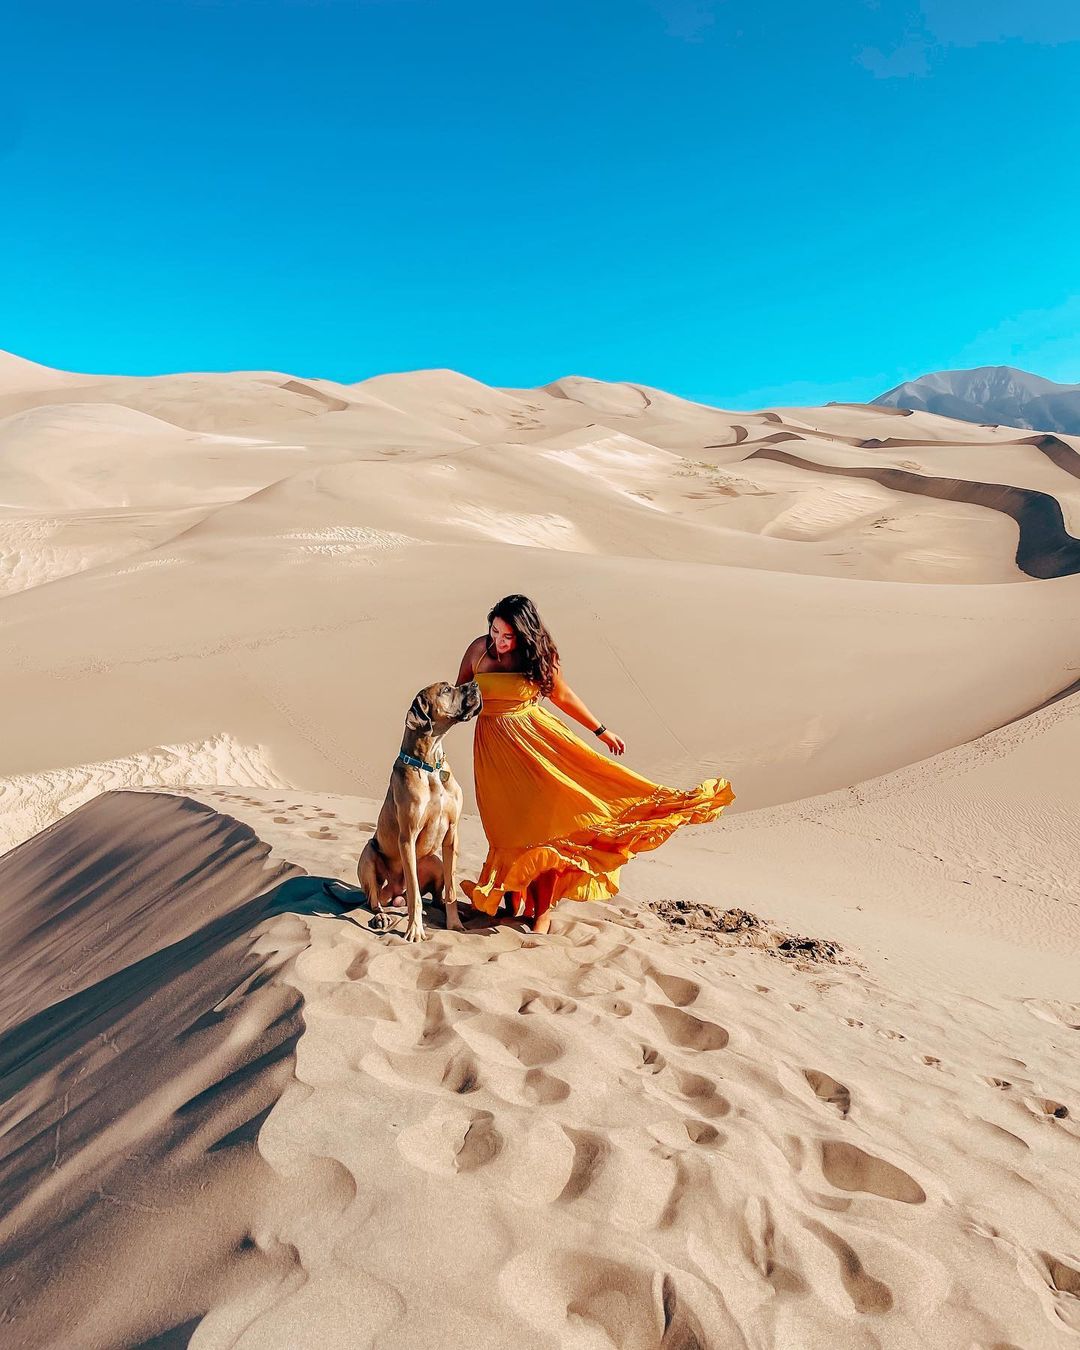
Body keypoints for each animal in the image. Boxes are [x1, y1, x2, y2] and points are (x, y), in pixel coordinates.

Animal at [359, 680, 480, 945]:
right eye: (446, 690)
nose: (475, 684)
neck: (430, 765)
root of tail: (395, 894)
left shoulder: (452, 834)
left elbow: (451, 889)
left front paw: (455, 924)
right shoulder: (407, 837)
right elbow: (415, 893)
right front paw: (415, 930)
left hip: (433, 861)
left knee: (436, 897)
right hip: (369, 854)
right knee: (374, 901)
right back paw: (382, 916)